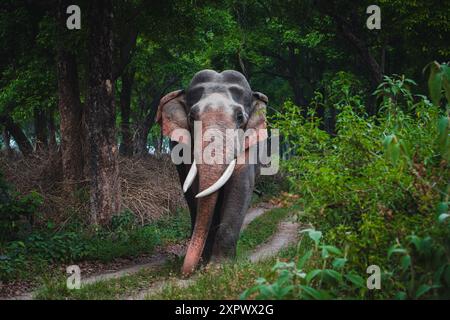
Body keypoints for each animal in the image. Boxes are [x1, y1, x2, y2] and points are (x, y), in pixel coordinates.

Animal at [156, 69, 268, 276]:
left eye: (240, 117)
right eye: (192, 117)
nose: (184, 273)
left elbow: (241, 186)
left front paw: (218, 268)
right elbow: (196, 190)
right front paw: (204, 265)